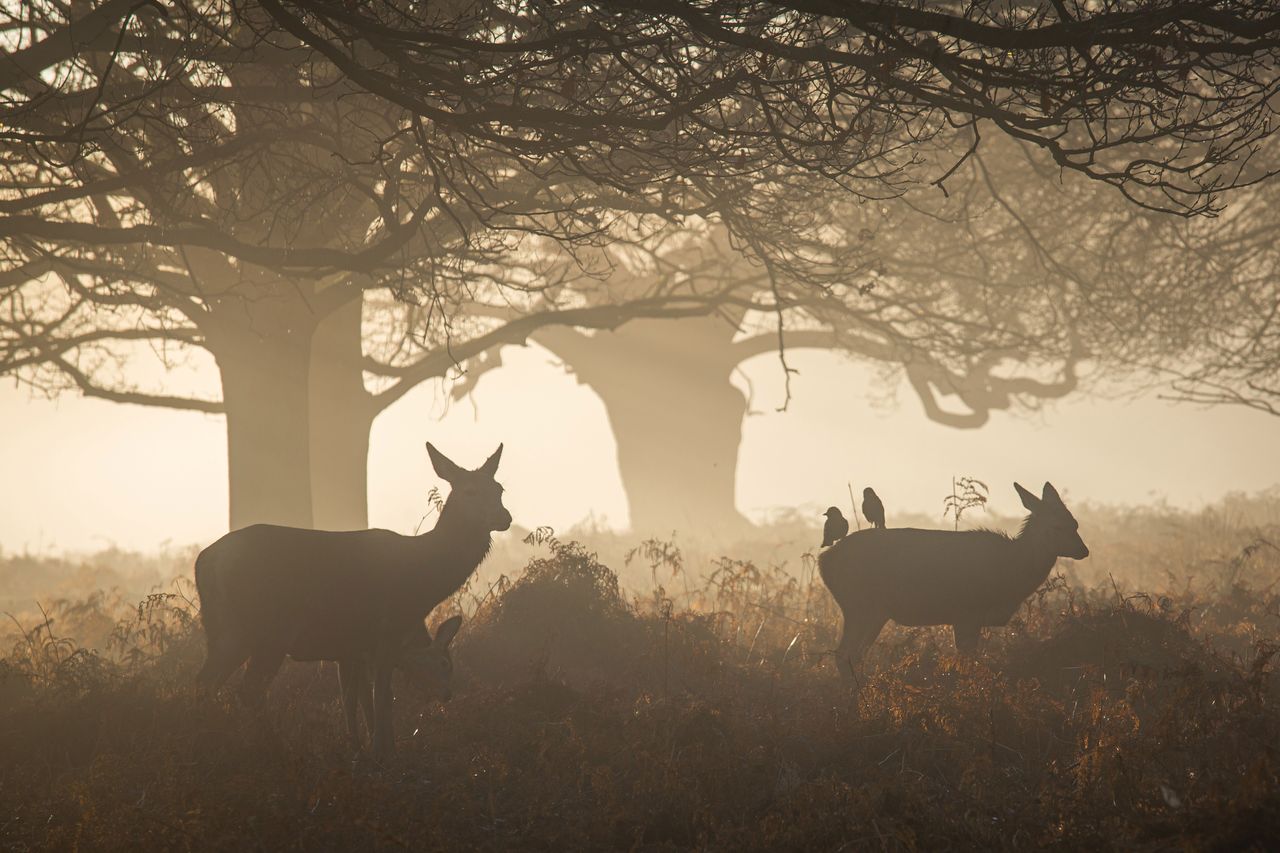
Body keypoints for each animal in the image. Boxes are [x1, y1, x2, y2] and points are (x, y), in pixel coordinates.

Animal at [194, 440, 509, 753]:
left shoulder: (354, 648)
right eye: (470, 491)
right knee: (248, 689)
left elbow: (357, 700)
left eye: (499, 489)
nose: (504, 517)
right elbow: (383, 696)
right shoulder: (387, 631)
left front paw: (363, 747)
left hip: (225, 630)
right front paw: (384, 751)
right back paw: (273, 746)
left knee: (206, 683)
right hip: (271, 629)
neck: (423, 581)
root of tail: (206, 561)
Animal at [819, 479, 1090, 671]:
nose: (1083, 550)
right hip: (860, 605)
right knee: (845, 655)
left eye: (1075, 523)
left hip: (872, 611)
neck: (1011, 573)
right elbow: (966, 663)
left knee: (854, 655)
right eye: (1056, 527)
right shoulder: (966, 612)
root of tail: (824, 562)